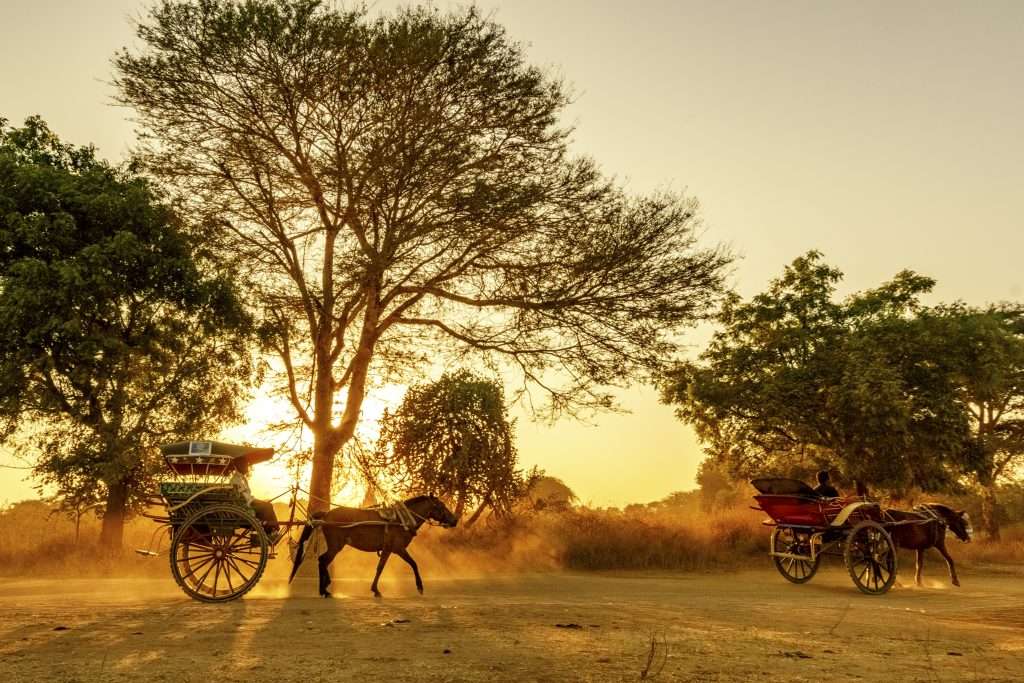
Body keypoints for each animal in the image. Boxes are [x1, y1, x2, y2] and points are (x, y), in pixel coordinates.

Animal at [292, 497, 460, 598]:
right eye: (441, 506)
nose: (455, 520)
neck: (401, 520)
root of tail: (326, 515)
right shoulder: (397, 549)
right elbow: (412, 564)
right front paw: (419, 587)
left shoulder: (388, 549)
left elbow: (380, 568)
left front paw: (375, 589)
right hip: (336, 545)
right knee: (323, 560)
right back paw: (325, 589)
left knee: (323, 561)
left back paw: (324, 588)